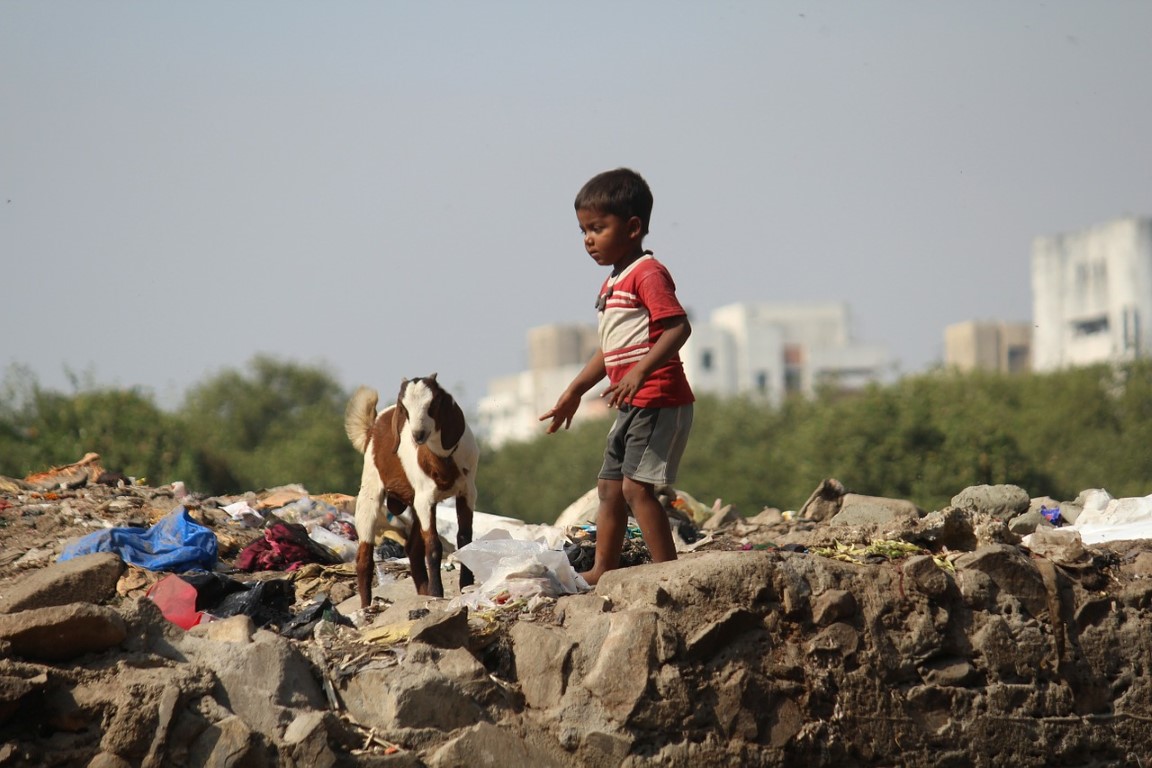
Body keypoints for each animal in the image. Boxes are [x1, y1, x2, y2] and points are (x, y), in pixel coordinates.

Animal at [345, 373, 481, 607]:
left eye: (433, 403)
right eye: (405, 408)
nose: (418, 434)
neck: (442, 460)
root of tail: (372, 428)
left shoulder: (467, 492)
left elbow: (464, 538)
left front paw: (466, 585)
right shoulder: (425, 500)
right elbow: (433, 546)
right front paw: (437, 592)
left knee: (413, 549)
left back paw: (422, 593)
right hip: (370, 488)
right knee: (364, 556)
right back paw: (366, 606)